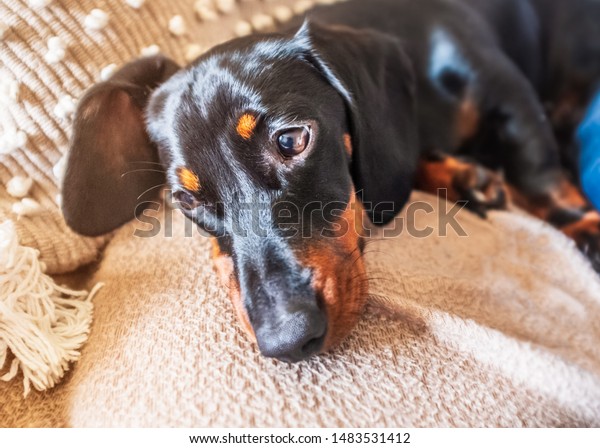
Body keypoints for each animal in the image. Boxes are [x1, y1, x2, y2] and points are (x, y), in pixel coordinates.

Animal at [61, 0, 600, 362]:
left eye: (291, 140)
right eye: (186, 199)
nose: (286, 341)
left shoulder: (508, 92)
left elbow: (542, 174)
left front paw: (585, 226)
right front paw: (461, 174)